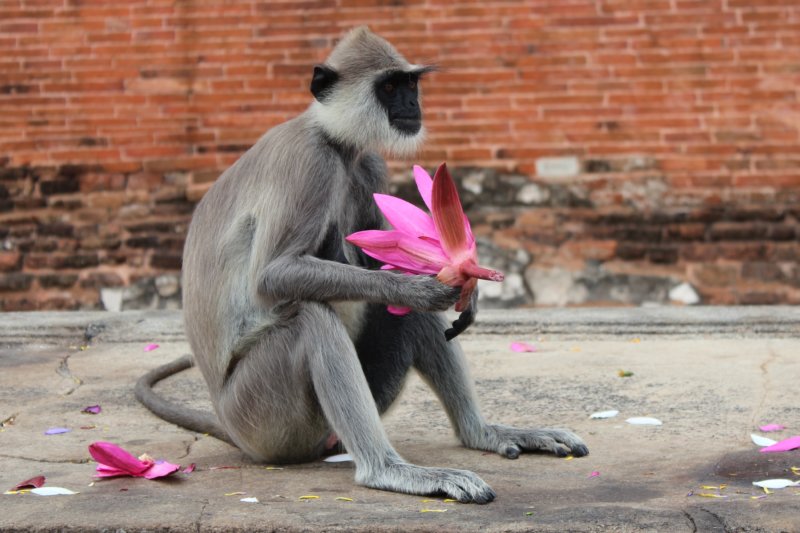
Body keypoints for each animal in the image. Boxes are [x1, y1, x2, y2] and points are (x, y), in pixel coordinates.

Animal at [135, 26, 587, 504]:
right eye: (389, 87)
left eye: (410, 85)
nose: (411, 105)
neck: (334, 141)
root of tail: (232, 428)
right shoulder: (310, 161)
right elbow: (273, 276)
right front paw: (415, 288)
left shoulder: (366, 164)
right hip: (262, 416)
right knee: (311, 318)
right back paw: (386, 470)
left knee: (409, 320)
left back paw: (482, 434)